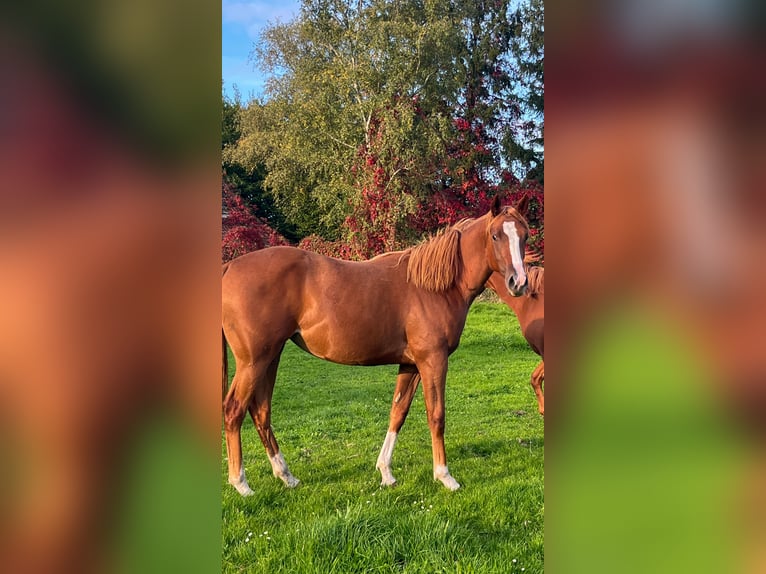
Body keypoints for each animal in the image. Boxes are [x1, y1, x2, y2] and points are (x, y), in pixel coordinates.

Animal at [221, 195, 530, 495]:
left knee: (260, 411)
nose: (519, 282)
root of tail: (229, 267)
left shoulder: (410, 364)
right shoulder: (433, 360)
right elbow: (436, 415)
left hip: (271, 357)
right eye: (495, 236)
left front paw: (386, 472)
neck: (433, 287)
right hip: (254, 361)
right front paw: (445, 476)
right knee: (234, 409)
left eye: (525, 236)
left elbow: (398, 413)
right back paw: (241, 484)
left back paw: (287, 477)